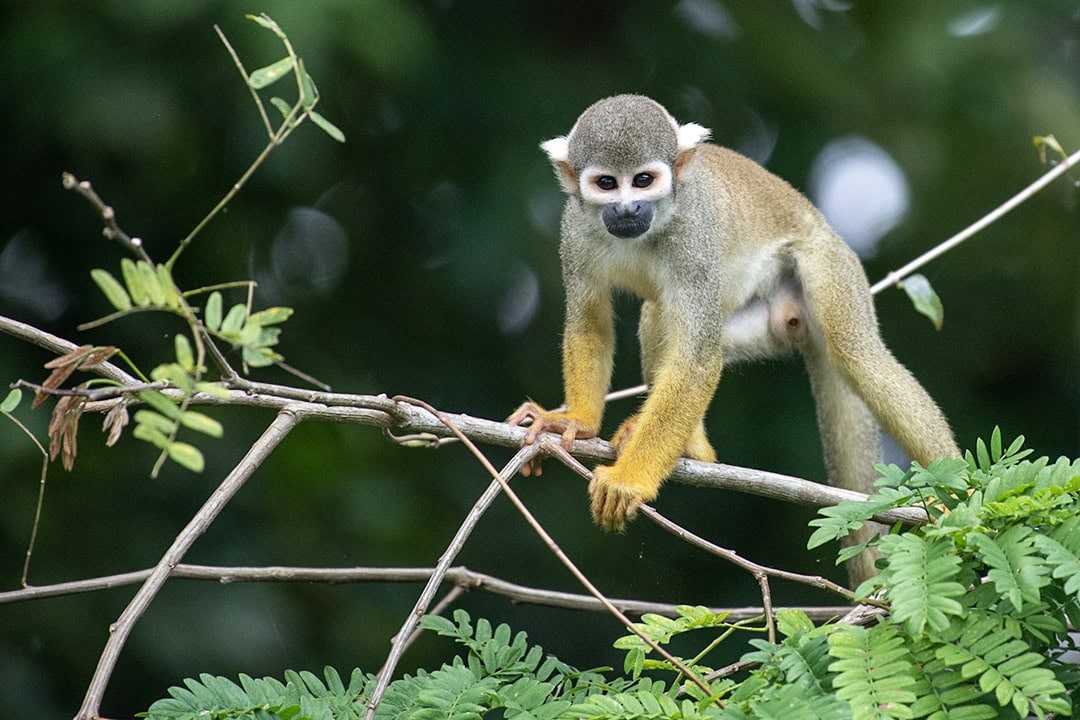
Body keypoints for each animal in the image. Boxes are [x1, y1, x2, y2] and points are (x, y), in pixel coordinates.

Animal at [509, 97, 959, 578]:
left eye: (643, 180)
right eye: (607, 184)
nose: (627, 209)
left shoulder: (693, 234)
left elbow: (698, 359)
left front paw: (629, 481)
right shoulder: (573, 230)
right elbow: (589, 323)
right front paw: (575, 422)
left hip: (826, 260)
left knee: (853, 351)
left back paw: (960, 492)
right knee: (658, 314)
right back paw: (691, 448)